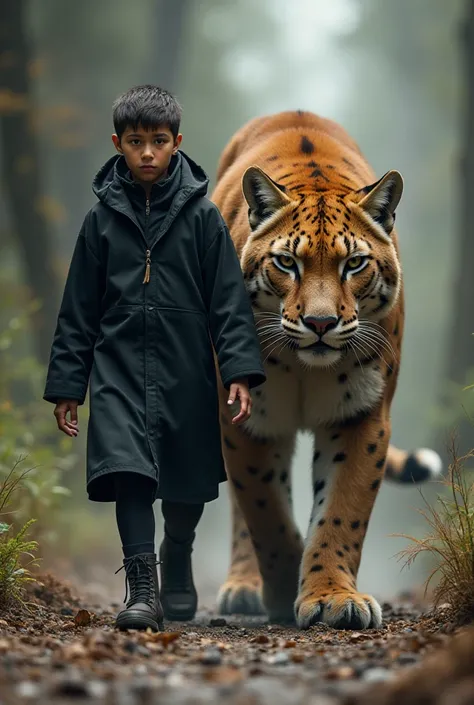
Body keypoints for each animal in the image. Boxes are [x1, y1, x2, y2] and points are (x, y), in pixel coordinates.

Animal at [211, 110, 440, 628]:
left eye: (353, 264)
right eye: (286, 263)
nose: (319, 323)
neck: (304, 368)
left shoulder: (362, 415)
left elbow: (341, 513)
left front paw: (333, 596)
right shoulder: (250, 419)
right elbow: (266, 514)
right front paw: (282, 590)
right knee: (237, 508)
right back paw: (243, 587)